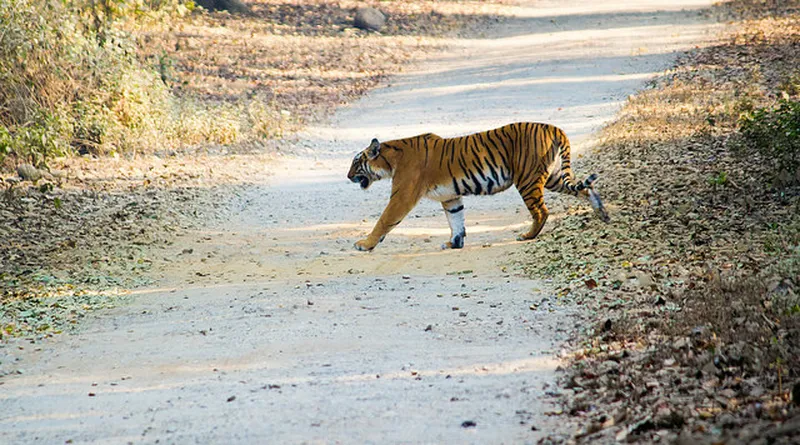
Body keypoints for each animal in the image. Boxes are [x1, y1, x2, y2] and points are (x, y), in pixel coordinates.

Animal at [346, 121, 612, 251]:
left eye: (356, 163)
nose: (347, 177)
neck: (391, 160)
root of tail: (554, 128)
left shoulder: (402, 196)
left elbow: (384, 220)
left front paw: (364, 244)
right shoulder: (450, 197)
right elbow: (456, 220)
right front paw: (454, 243)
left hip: (527, 179)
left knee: (541, 211)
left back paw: (527, 235)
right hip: (553, 176)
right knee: (583, 188)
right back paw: (602, 212)